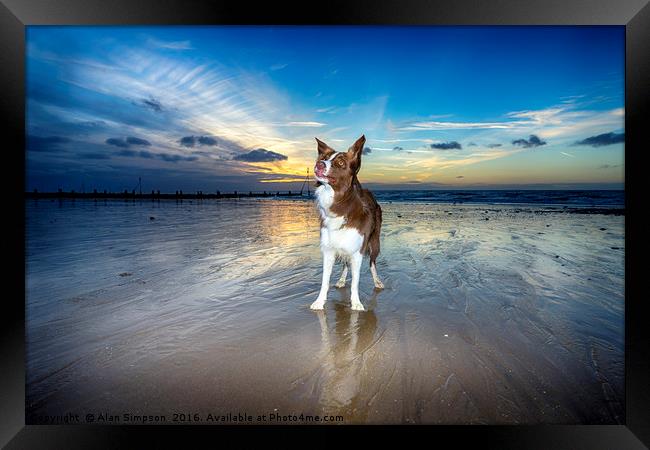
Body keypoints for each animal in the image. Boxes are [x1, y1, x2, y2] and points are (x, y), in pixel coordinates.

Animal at [308, 134, 380, 312]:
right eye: (325, 158)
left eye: (340, 163)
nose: (319, 164)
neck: (340, 205)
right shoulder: (328, 250)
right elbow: (324, 281)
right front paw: (320, 301)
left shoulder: (358, 252)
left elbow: (355, 281)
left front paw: (356, 303)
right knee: (346, 265)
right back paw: (341, 280)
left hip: (374, 243)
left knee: (372, 263)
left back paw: (377, 281)